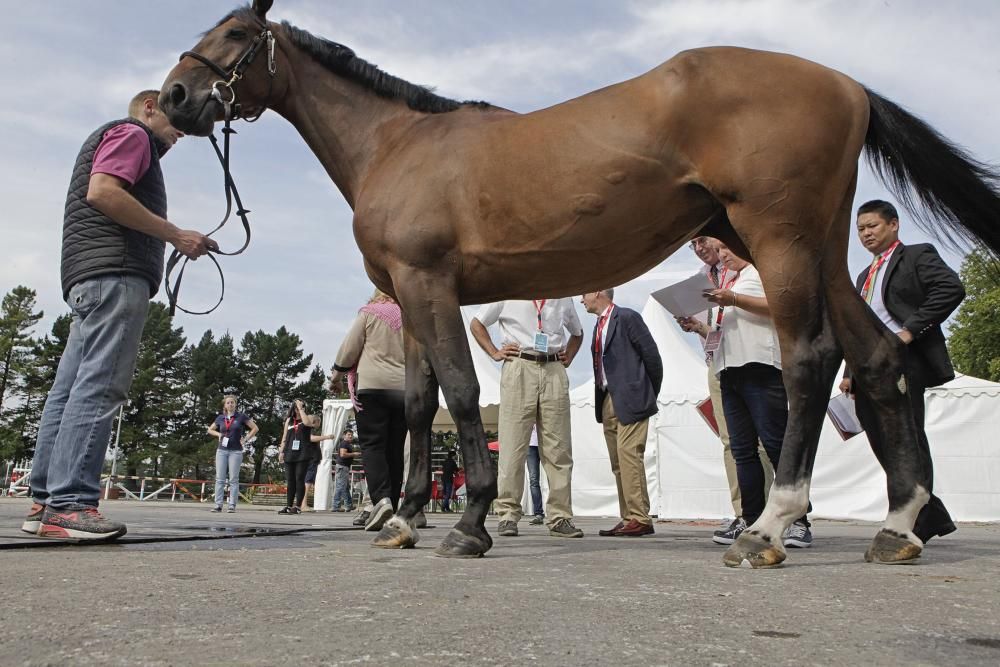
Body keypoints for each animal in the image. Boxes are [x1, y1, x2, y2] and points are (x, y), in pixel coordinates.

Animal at [160, 0, 996, 568]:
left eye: (234, 33)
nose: (172, 98)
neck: (398, 144)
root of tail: (846, 83)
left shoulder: (429, 285)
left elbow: (461, 391)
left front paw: (467, 524)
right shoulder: (410, 293)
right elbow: (422, 406)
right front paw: (402, 517)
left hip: (781, 242)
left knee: (811, 361)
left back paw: (768, 527)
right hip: (817, 249)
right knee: (879, 359)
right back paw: (899, 524)